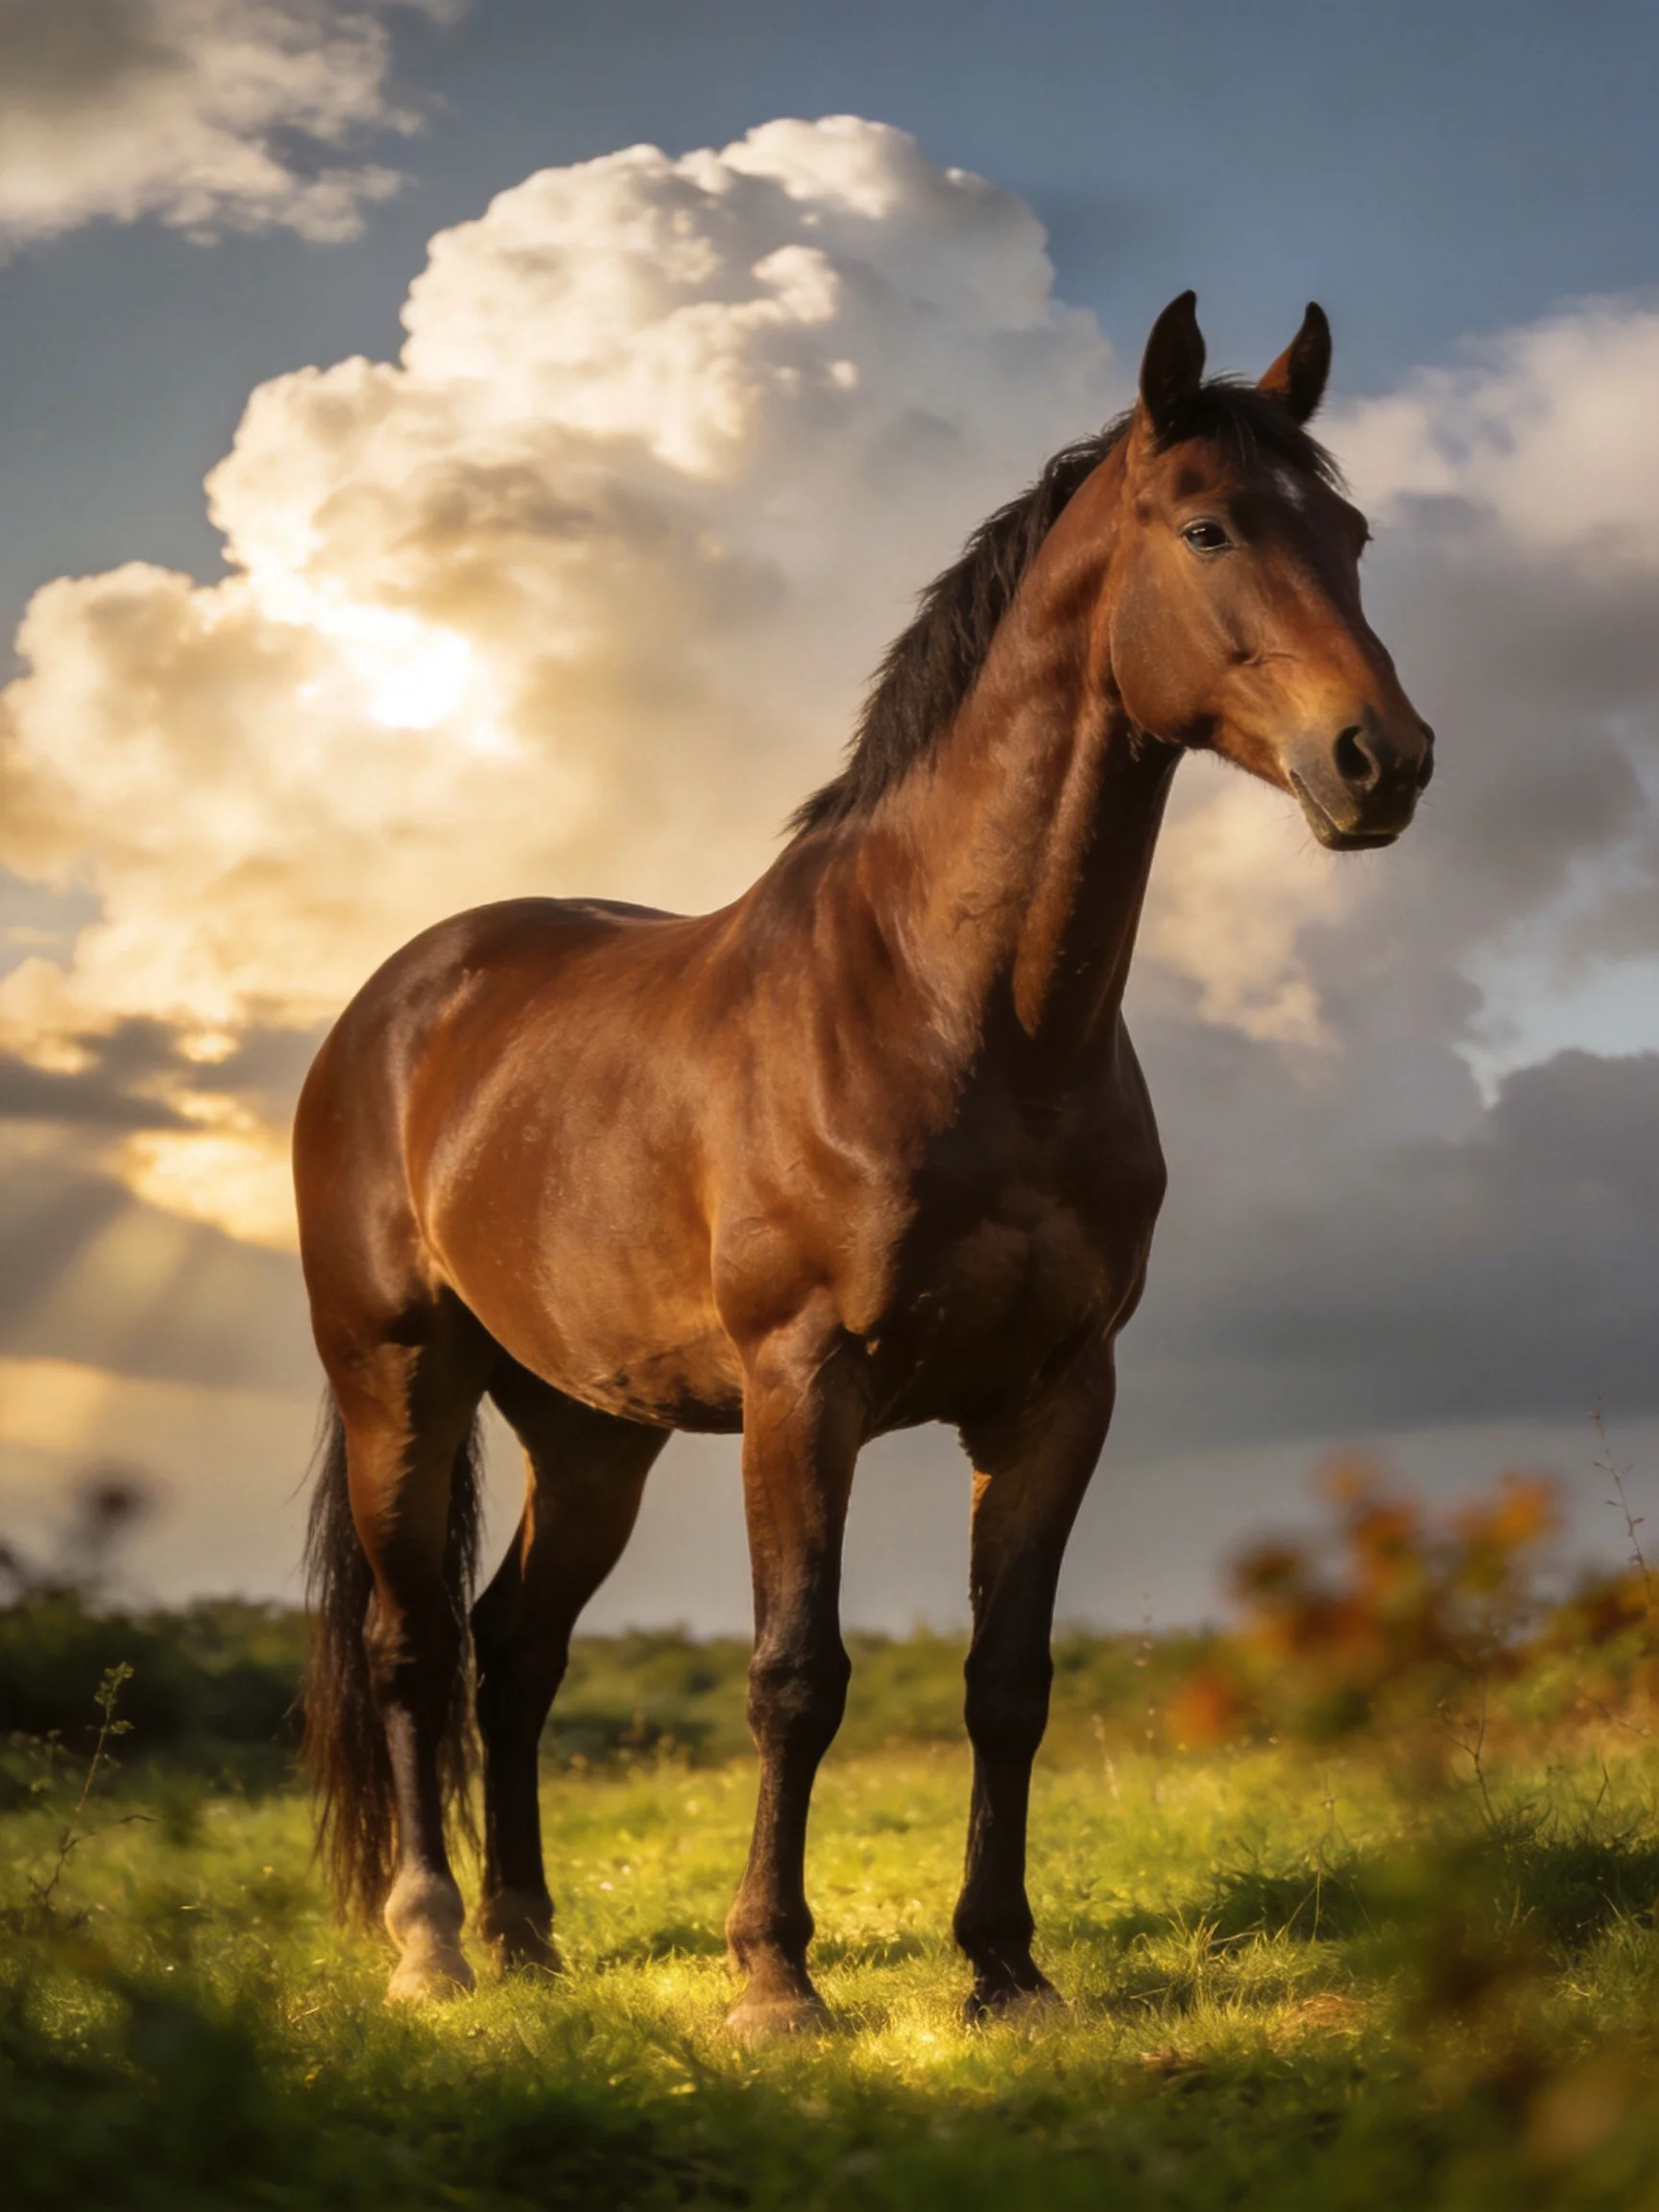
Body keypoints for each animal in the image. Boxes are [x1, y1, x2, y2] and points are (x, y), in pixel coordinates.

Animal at [295, 290, 1433, 2028]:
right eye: (1208, 526)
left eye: (1352, 534)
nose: (1383, 760)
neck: (957, 1011)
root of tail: (397, 1002)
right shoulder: (800, 1383)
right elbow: (795, 1672)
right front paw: (774, 1979)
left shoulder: (1056, 1394)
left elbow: (1007, 1679)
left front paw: (1006, 1967)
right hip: (398, 1382)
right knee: (416, 1645)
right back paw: (433, 1942)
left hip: (591, 1432)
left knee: (517, 1648)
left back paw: (530, 1935)